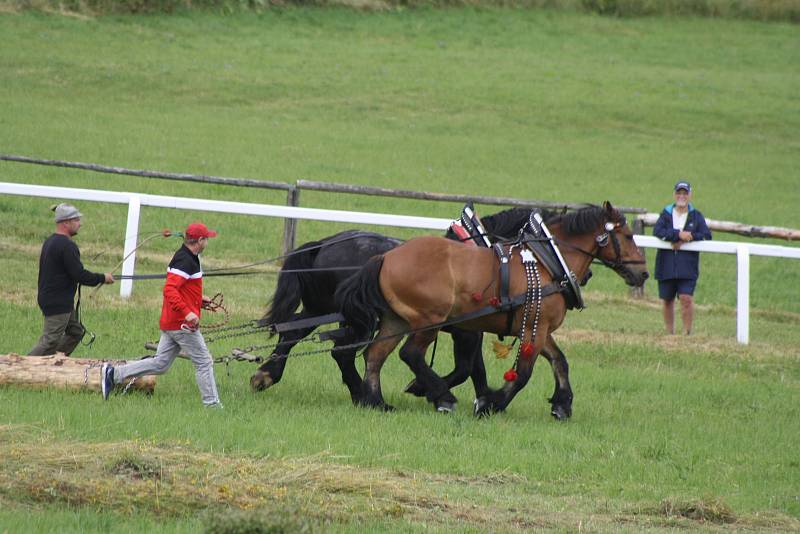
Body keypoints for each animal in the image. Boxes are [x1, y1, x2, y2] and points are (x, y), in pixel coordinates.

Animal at [252, 208, 588, 418]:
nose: (584, 277)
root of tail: (324, 243)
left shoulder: (471, 330)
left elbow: (473, 369)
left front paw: (483, 399)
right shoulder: (468, 331)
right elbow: (468, 368)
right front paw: (440, 392)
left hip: (321, 308)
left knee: (295, 332)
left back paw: (267, 375)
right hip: (350, 316)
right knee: (340, 351)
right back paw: (362, 393)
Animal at [334, 203, 648, 416]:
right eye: (628, 236)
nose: (643, 274)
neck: (546, 262)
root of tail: (385, 257)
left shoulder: (538, 327)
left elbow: (559, 361)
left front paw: (562, 404)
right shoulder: (527, 330)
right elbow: (520, 374)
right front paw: (491, 403)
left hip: (396, 319)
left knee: (375, 356)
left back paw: (376, 402)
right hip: (429, 319)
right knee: (409, 354)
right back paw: (441, 397)